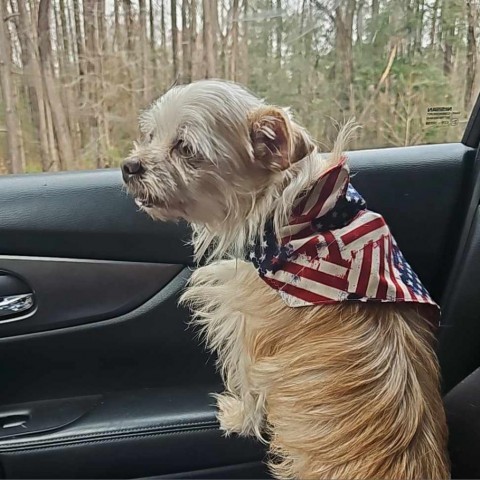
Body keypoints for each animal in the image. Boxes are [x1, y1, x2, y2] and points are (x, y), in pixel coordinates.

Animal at [121, 79, 450, 480]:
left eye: (185, 148)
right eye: (150, 135)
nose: (129, 165)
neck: (306, 215)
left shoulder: (246, 330)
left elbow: (248, 383)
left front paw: (239, 419)